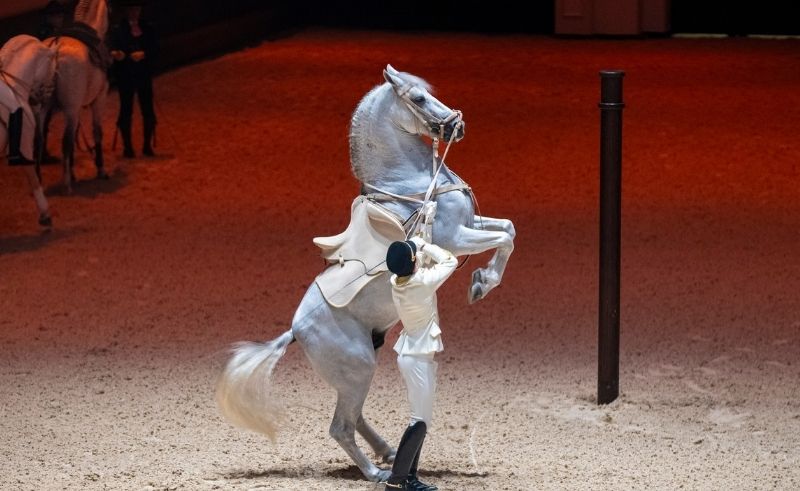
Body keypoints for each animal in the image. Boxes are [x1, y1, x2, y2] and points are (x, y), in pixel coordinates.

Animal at [45, 0, 110, 191]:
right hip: (71, 109)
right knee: (65, 142)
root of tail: (55, 50)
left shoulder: (78, 109)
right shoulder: (99, 99)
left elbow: (75, 137)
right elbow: (97, 132)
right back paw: (67, 184)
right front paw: (101, 169)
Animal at [216, 65, 516, 482]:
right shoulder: (456, 238)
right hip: (359, 371)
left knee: (354, 418)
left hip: (356, 376)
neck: (409, 182)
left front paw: (482, 281)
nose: (457, 126)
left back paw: (387, 452)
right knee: (340, 426)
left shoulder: (472, 224)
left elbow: (508, 229)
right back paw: (375, 472)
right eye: (419, 98)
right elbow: (504, 238)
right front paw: (481, 285)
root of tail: (296, 330)